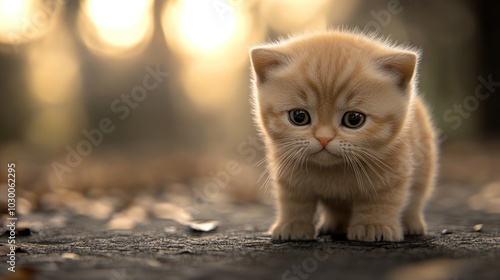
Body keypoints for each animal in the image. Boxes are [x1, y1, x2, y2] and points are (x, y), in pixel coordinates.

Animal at [250, 30, 438, 241]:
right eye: (299, 117)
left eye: (353, 119)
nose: (324, 138)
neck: (334, 171)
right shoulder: (288, 173)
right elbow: (294, 201)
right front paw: (292, 225)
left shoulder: (394, 170)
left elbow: (381, 200)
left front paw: (374, 225)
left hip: (424, 167)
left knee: (416, 199)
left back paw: (412, 224)